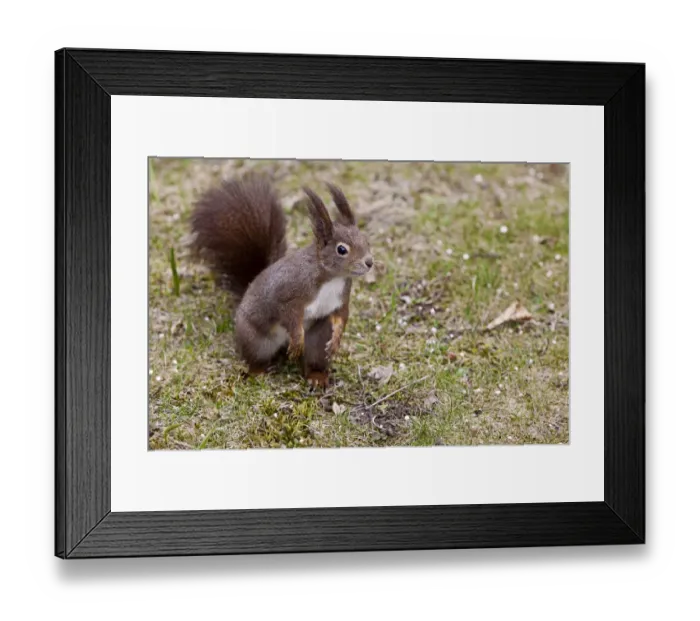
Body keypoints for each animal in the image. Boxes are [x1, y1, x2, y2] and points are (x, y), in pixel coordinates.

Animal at [190, 173, 373, 388]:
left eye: (366, 240)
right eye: (342, 249)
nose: (369, 262)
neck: (332, 277)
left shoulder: (341, 299)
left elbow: (340, 317)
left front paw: (336, 340)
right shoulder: (289, 293)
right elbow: (290, 316)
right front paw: (297, 340)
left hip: (317, 340)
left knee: (315, 356)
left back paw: (317, 376)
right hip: (255, 339)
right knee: (254, 358)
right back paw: (259, 371)